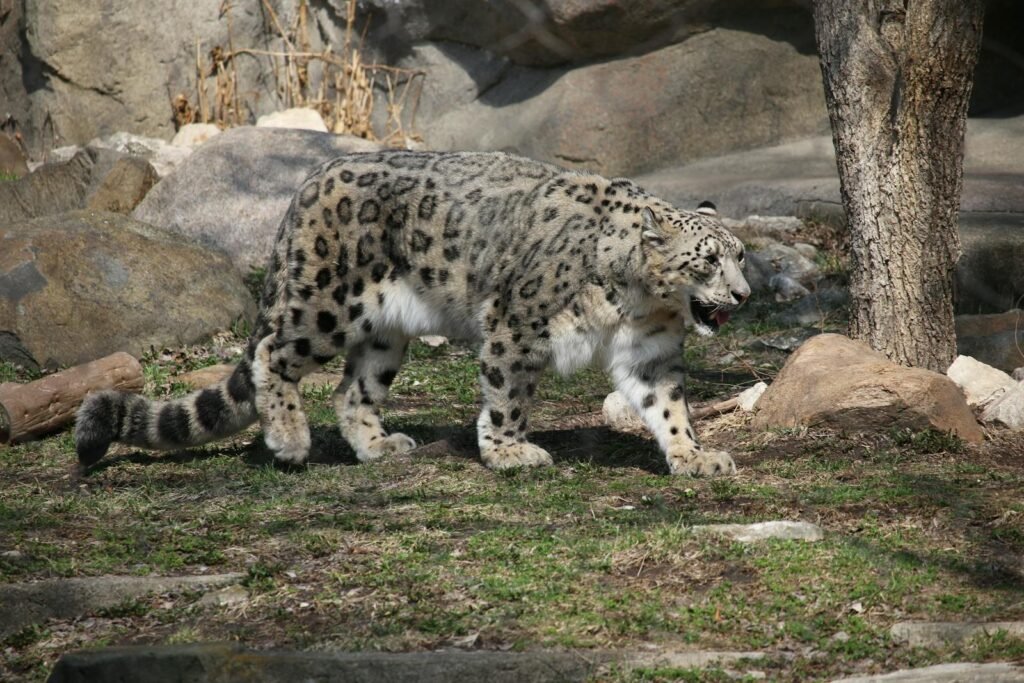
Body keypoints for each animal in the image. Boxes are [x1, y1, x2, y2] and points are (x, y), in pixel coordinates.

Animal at [75, 150, 750, 476]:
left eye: (741, 255)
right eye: (709, 261)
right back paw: (289, 439)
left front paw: (695, 457)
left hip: (384, 335)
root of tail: (306, 185)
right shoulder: (517, 326)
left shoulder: (650, 354)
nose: (744, 294)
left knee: (351, 390)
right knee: (272, 353)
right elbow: (508, 395)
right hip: (325, 305)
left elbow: (669, 408)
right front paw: (510, 453)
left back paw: (379, 446)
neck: (637, 304)